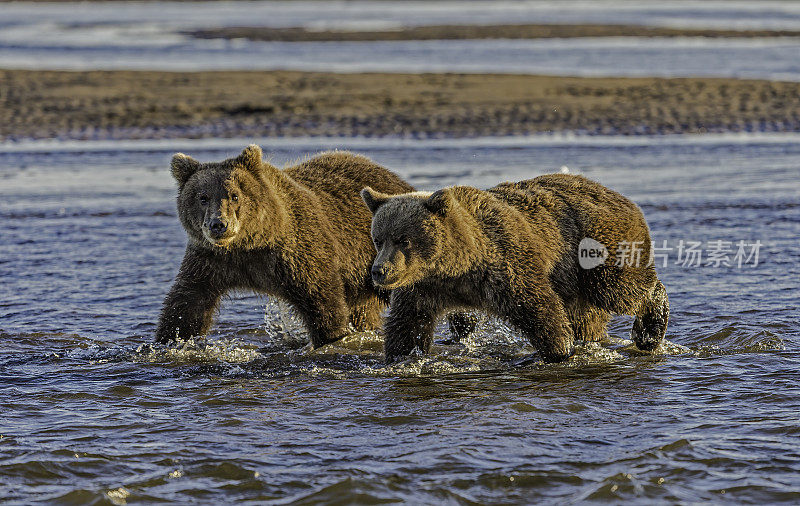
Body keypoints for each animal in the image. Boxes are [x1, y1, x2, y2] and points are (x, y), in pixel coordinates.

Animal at [154, 144, 422, 346]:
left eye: (234, 195)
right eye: (202, 197)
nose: (219, 224)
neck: (249, 244)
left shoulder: (296, 252)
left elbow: (322, 301)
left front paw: (332, 339)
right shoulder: (211, 261)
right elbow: (187, 303)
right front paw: (168, 342)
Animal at [362, 174, 668, 364]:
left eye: (403, 239)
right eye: (378, 238)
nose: (379, 271)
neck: (457, 266)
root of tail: (617, 194)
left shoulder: (504, 265)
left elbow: (537, 306)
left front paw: (559, 350)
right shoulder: (422, 287)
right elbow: (407, 324)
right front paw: (400, 358)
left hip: (596, 247)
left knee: (619, 290)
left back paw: (650, 330)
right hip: (571, 278)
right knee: (585, 315)